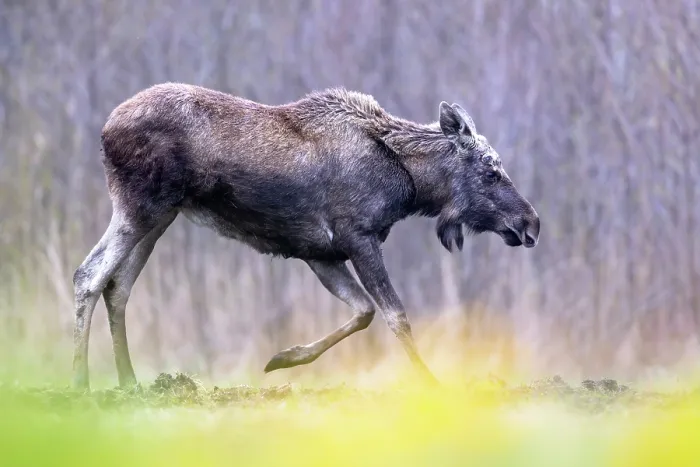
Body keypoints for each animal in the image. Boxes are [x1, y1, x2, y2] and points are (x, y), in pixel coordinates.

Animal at [71, 83, 540, 390]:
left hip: (161, 216)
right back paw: (80, 384)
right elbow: (395, 315)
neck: (408, 185)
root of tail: (104, 131)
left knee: (118, 285)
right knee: (89, 275)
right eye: (491, 171)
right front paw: (433, 385)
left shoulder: (320, 253)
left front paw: (283, 359)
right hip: (139, 206)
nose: (531, 223)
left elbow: (363, 312)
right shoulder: (357, 236)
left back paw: (129, 382)